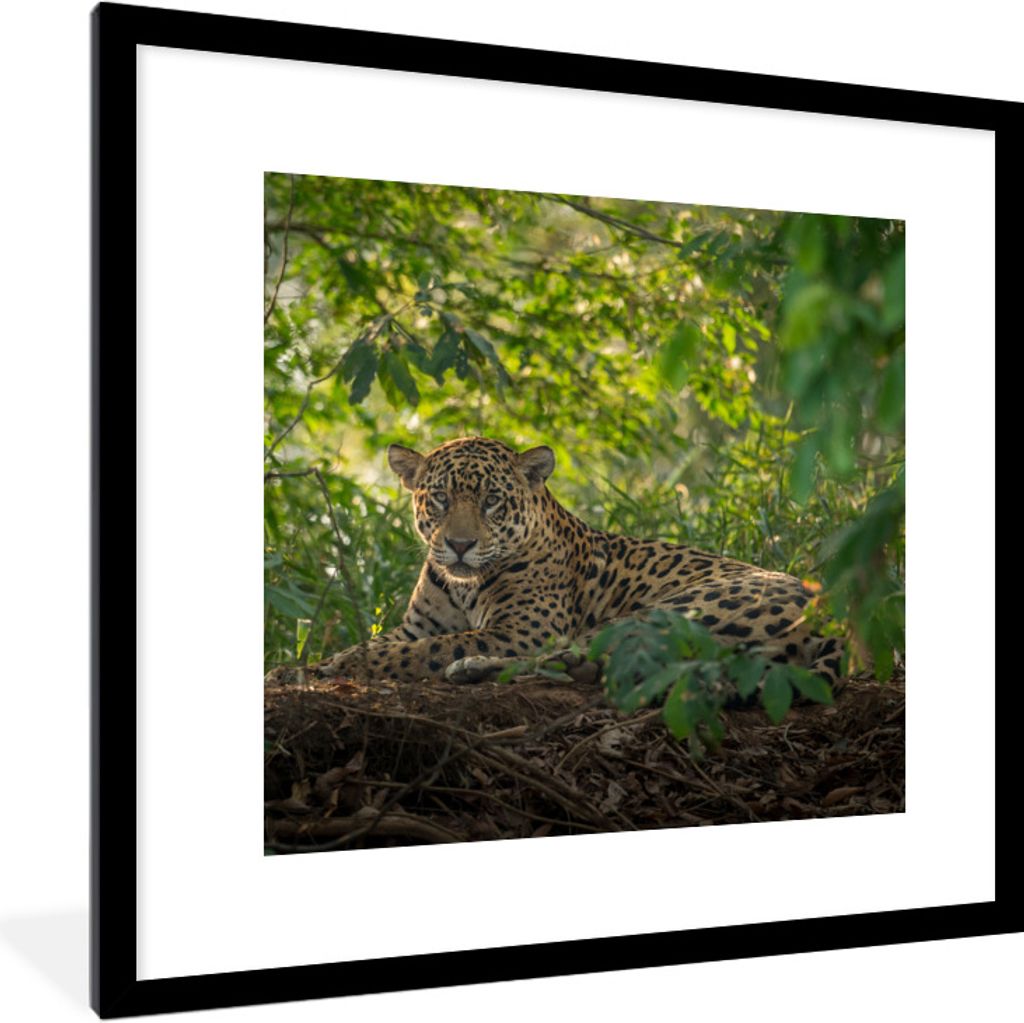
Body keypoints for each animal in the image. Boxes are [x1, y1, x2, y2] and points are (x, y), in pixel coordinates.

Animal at [316, 436, 844, 694]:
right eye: (441, 498)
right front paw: (314, 665)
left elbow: (424, 650)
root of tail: (828, 617)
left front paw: (344, 665)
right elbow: (390, 642)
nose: (460, 545)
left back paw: (470, 668)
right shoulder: (414, 625)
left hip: (666, 612)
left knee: (568, 658)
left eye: (491, 501)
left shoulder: (521, 630)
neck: (463, 585)